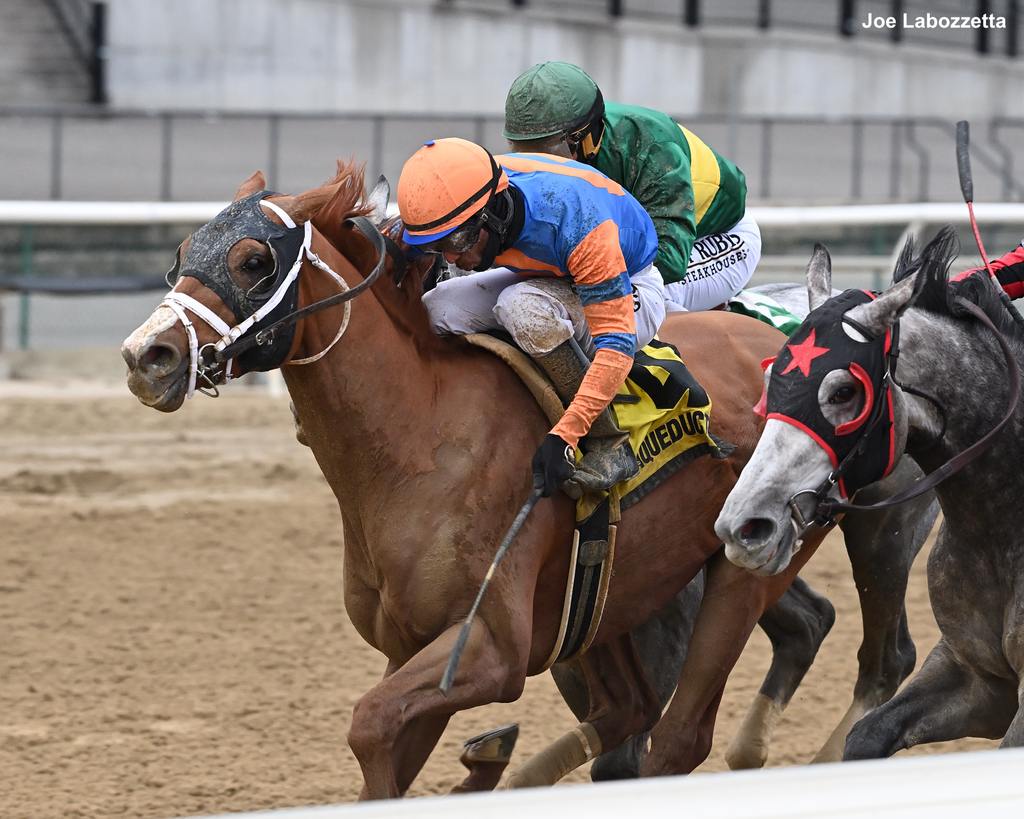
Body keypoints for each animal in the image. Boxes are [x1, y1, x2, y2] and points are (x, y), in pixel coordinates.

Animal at [716, 225, 1024, 753]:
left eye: (844, 392)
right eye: (770, 375)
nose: (744, 526)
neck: (1000, 526)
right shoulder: (975, 675)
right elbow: (866, 736)